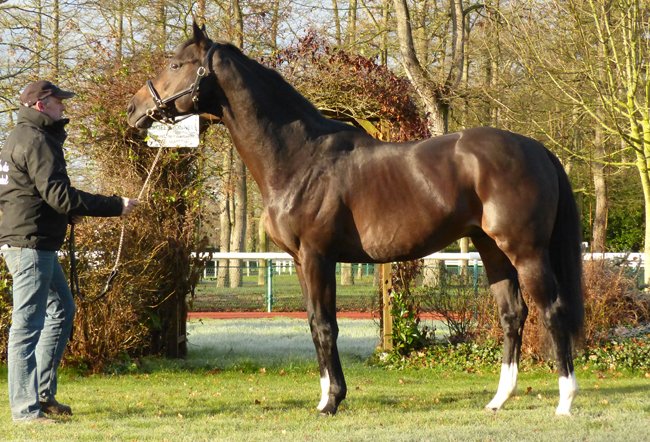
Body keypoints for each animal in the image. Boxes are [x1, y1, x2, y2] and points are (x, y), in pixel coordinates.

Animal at [127, 22, 584, 416]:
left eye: (175, 65)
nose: (134, 109)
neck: (299, 157)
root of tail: (536, 148)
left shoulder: (317, 256)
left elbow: (325, 325)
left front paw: (332, 401)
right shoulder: (300, 260)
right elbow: (315, 325)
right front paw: (326, 397)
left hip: (526, 251)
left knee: (552, 311)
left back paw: (564, 401)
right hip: (492, 249)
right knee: (513, 315)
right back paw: (498, 399)